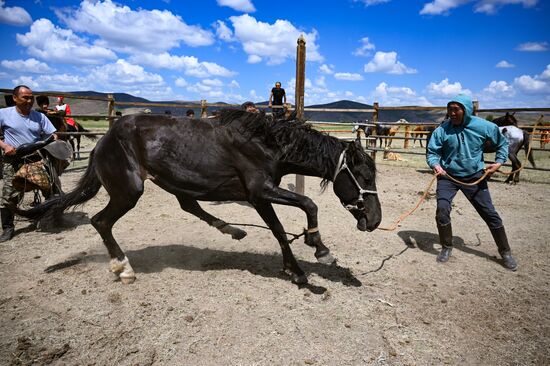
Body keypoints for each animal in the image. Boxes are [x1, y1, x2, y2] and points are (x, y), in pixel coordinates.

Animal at [15, 110, 382, 284]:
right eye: (365, 177)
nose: (375, 220)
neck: (268, 144)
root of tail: (104, 140)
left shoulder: (259, 197)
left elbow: (279, 231)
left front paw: (296, 270)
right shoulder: (260, 191)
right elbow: (307, 205)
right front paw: (320, 251)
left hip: (172, 181)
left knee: (188, 204)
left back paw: (233, 230)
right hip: (129, 190)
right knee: (100, 221)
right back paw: (124, 269)